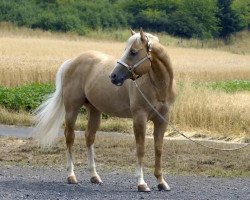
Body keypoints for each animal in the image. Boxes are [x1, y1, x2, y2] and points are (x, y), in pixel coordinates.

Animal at [33, 28, 176, 192]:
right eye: (126, 50)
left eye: (133, 52)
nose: (113, 76)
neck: (158, 87)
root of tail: (72, 61)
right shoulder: (139, 118)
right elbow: (141, 148)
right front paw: (141, 183)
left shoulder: (162, 119)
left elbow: (159, 149)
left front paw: (161, 182)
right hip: (71, 109)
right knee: (70, 137)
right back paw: (71, 176)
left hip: (94, 111)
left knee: (89, 137)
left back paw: (94, 176)